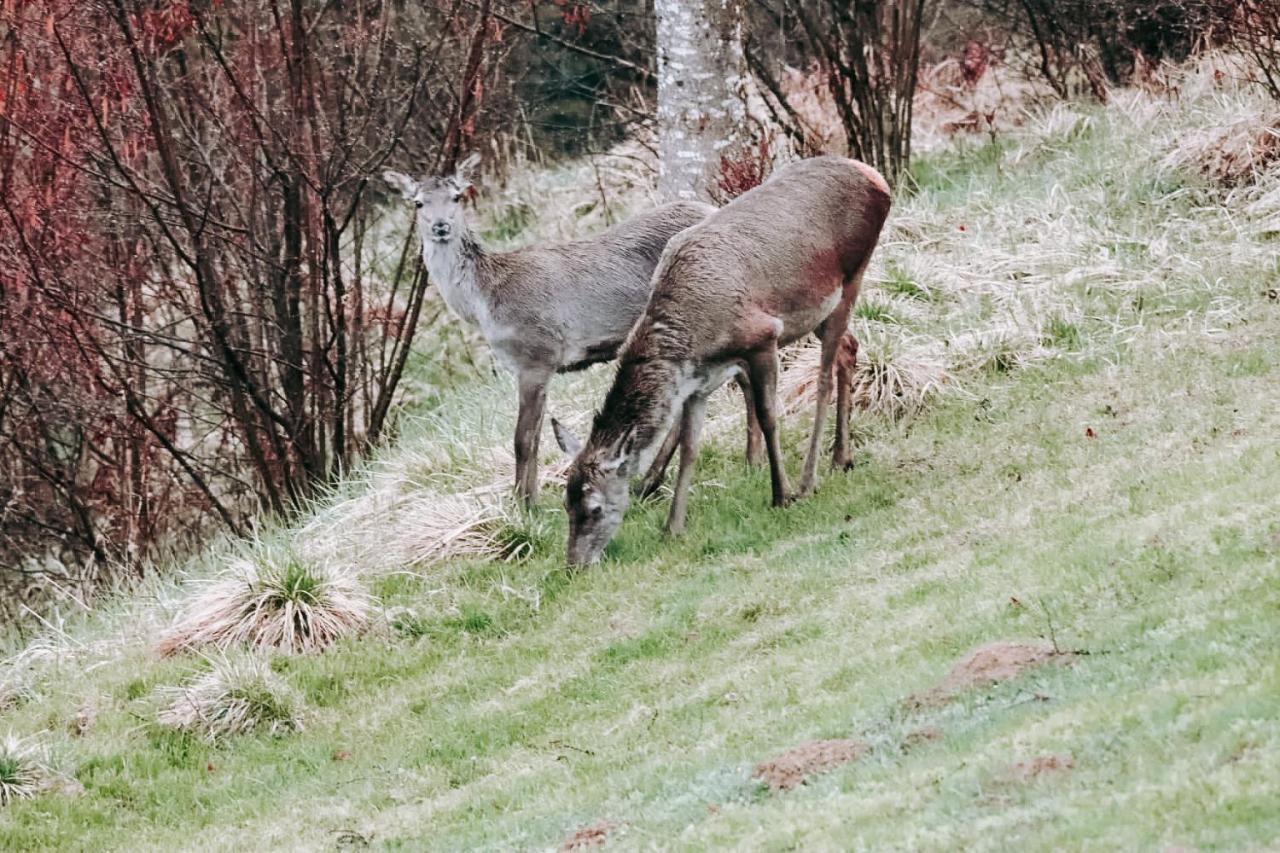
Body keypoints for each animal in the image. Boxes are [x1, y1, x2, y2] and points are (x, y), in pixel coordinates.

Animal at [381, 154, 757, 504]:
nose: (441, 226)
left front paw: (522, 507)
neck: (486, 302)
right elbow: (535, 437)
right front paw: (529, 499)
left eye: (457, 196)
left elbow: (523, 439)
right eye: (418, 202)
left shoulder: (536, 354)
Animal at [550, 154, 890, 563]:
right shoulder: (699, 382)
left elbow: (768, 416)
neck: (695, 338)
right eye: (566, 505)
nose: (574, 563)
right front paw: (673, 526)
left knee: (823, 375)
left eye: (594, 508)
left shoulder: (762, 336)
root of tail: (875, 176)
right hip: (821, 311)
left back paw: (809, 479)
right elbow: (690, 446)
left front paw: (781, 494)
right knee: (849, 350)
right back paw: (842, 457)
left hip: (853, 273)